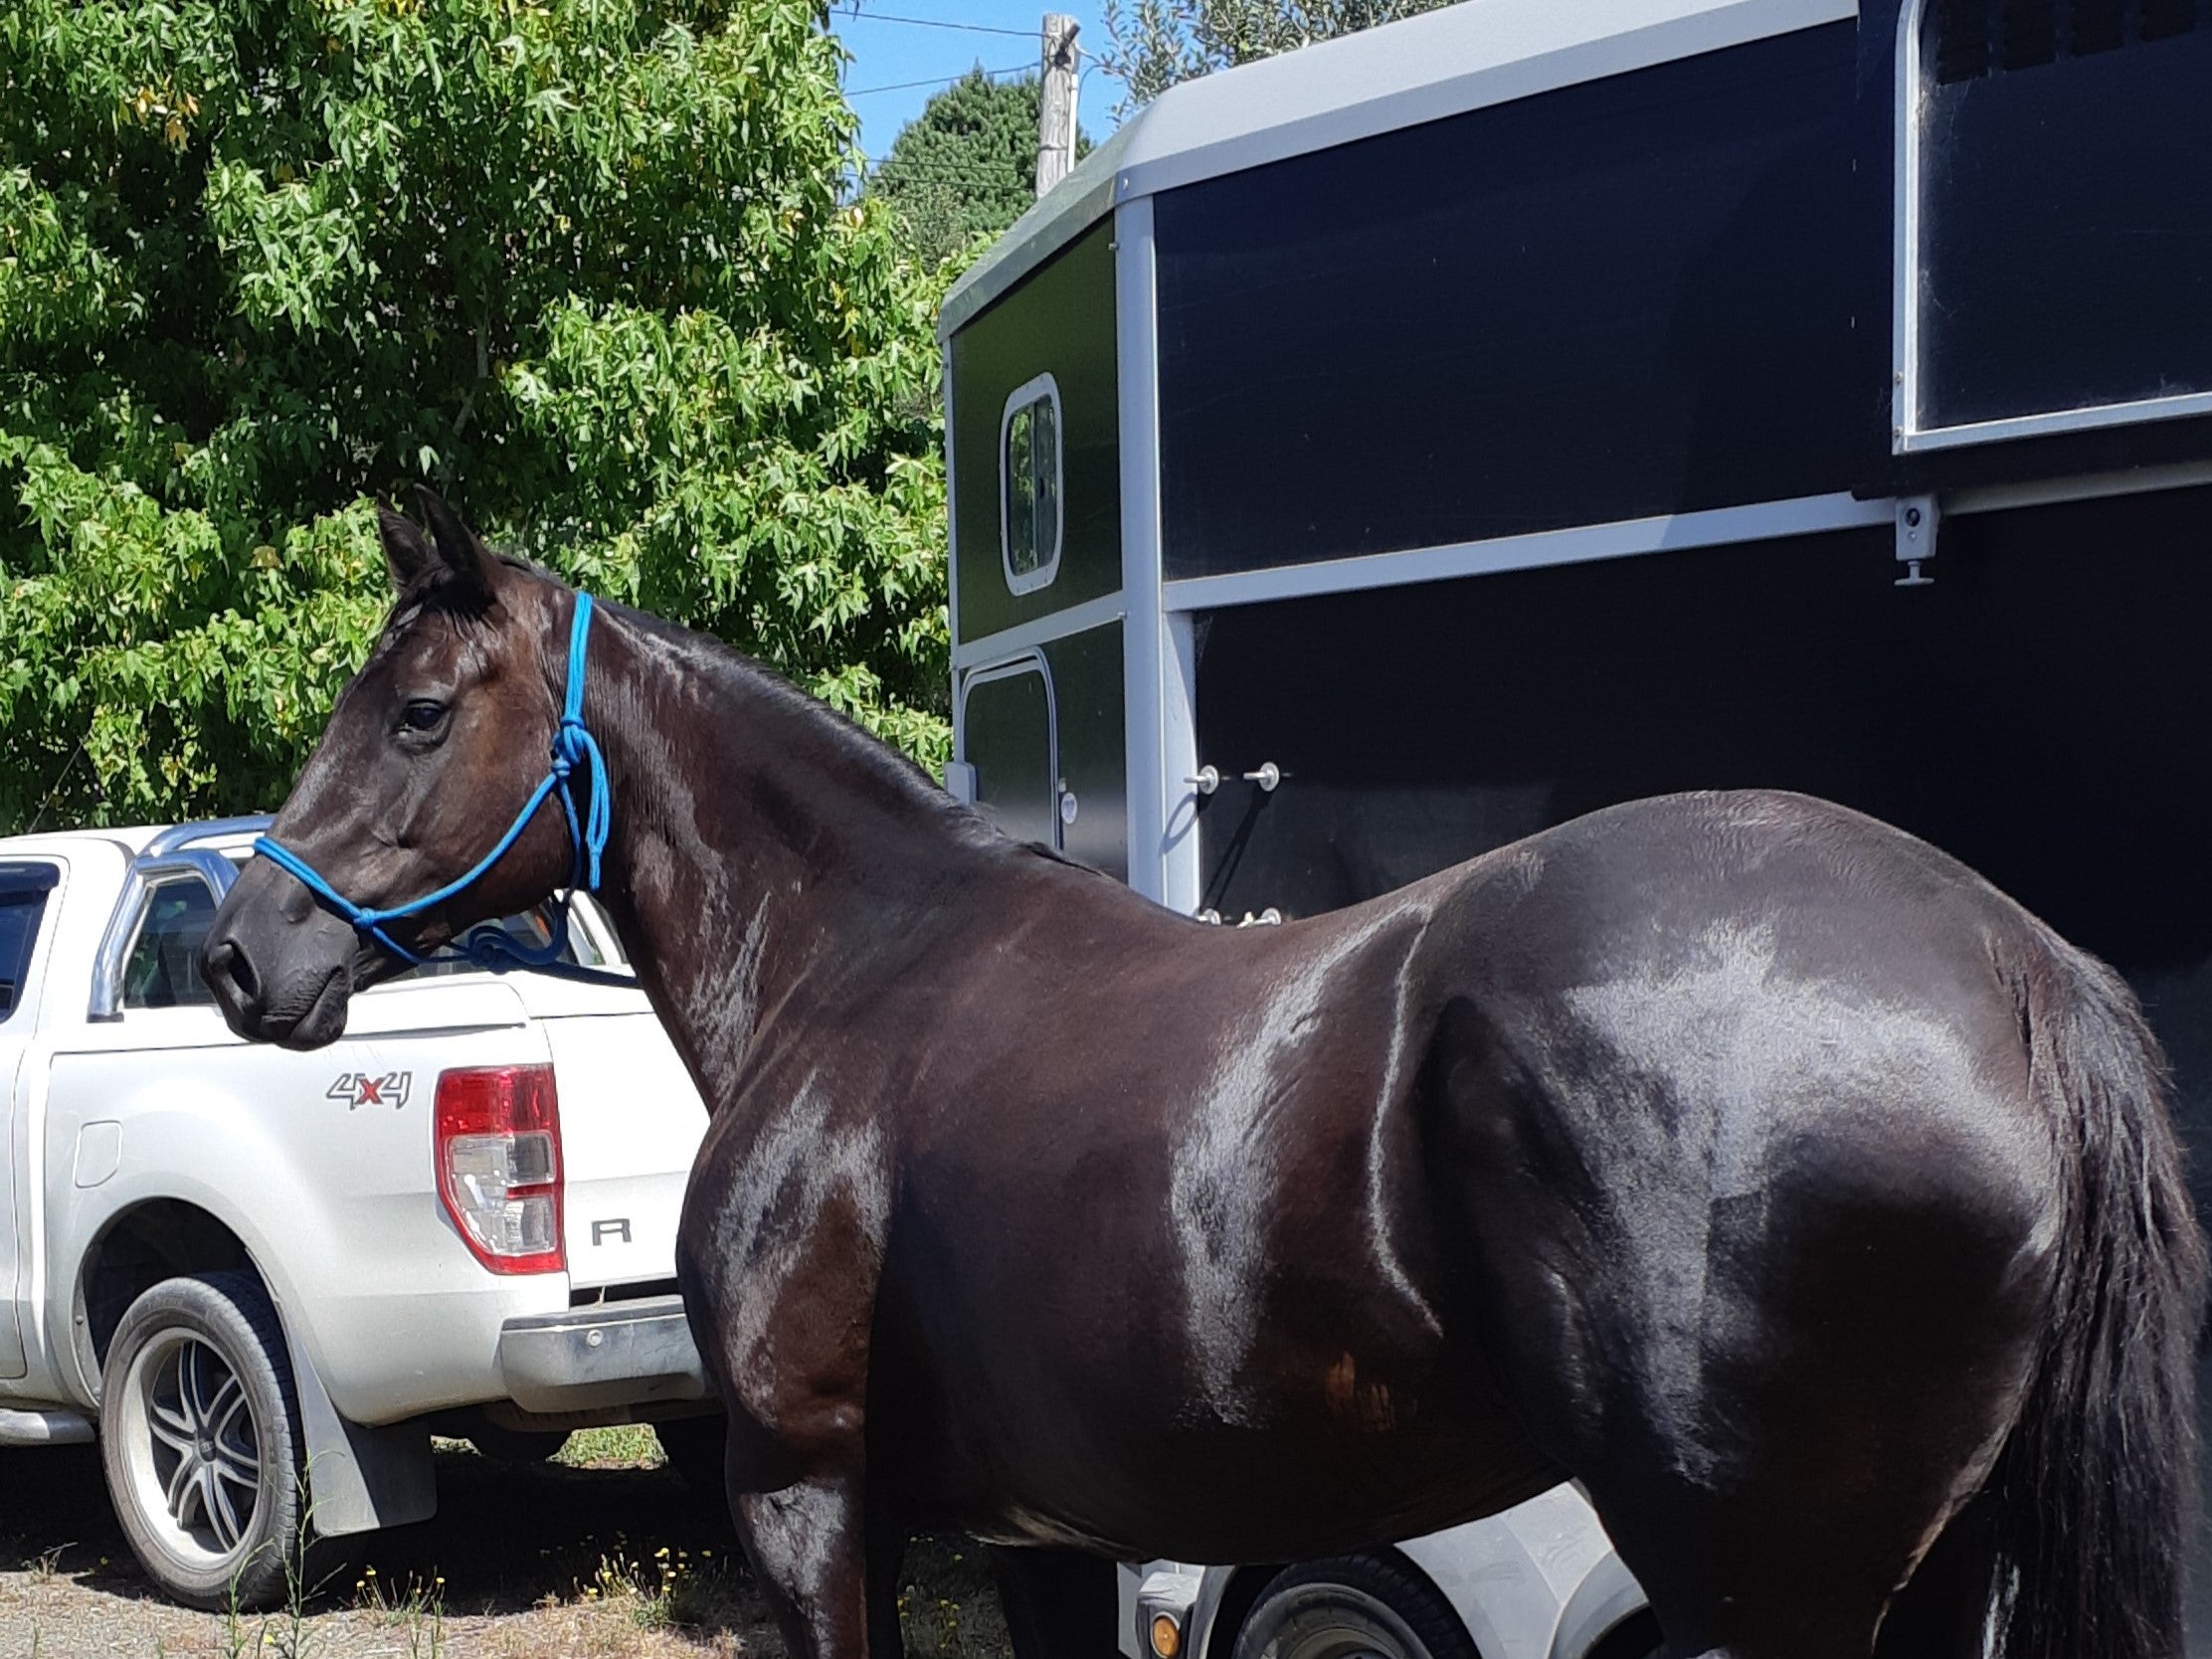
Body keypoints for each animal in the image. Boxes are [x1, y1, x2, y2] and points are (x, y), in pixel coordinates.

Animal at [203, 493, 2205, 1659]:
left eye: (416, 711)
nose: (239, 953)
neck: (857, 963)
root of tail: (2013, 961)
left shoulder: (808, 1498)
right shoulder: (1034, 1533)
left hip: (1761, 1592)